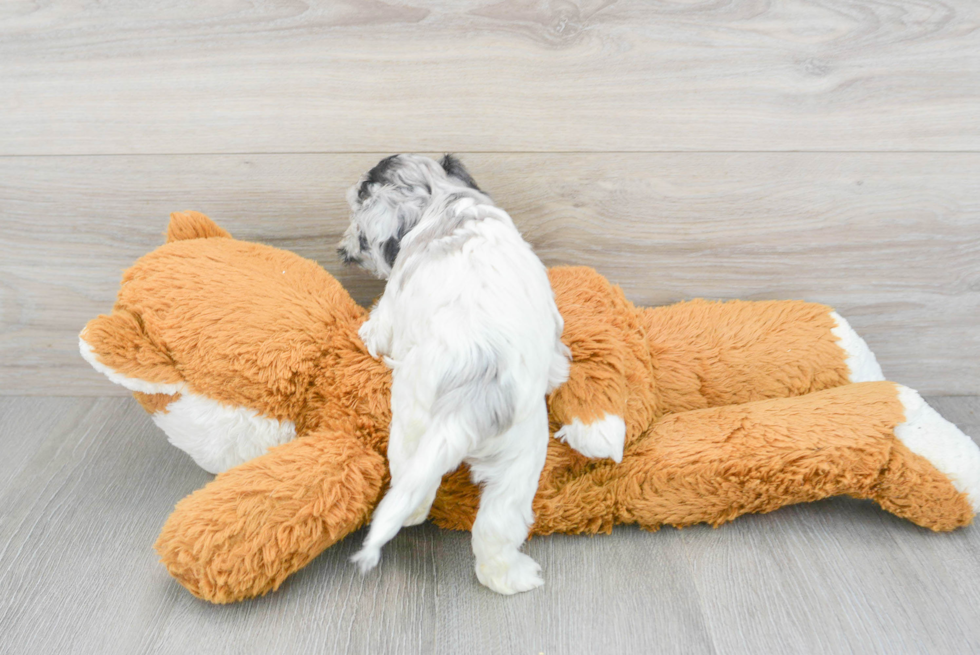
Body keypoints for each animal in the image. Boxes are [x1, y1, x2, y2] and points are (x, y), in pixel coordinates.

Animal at [340, 155, 576, 596]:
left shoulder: (391, 313)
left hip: (411, 426)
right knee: (497, 525)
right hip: (522, 458)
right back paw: (513, 577)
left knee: (412, 487)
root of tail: (471, 400)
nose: (343, 248)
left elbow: (378, 328)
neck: (444, 197)